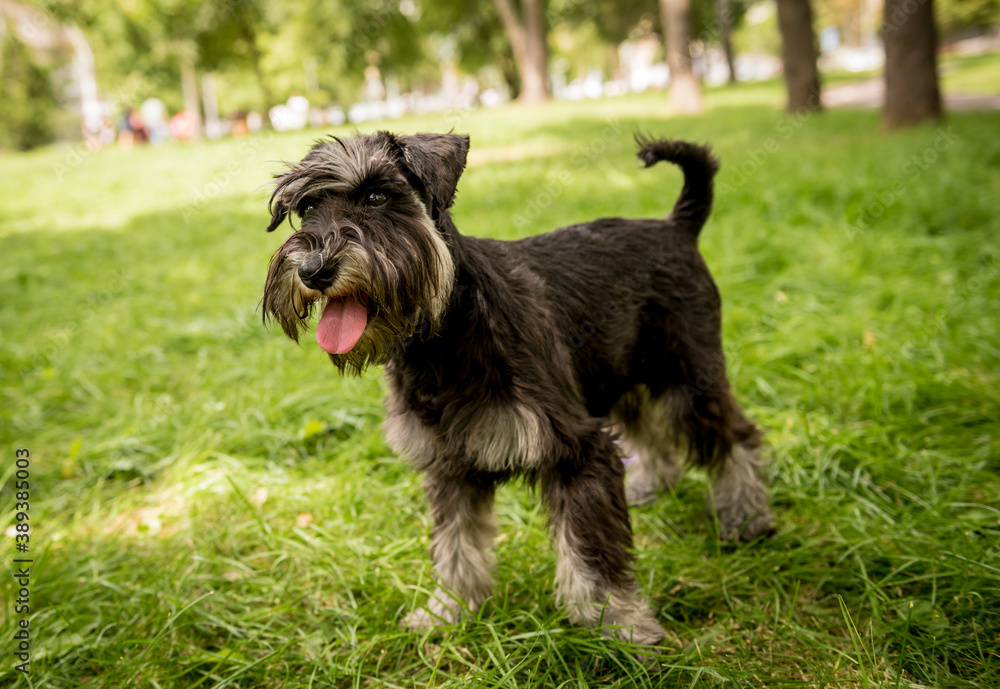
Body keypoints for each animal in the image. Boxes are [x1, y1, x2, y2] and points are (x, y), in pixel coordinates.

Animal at [260, 130, 772, 644]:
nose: (313, 269)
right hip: (616, 373)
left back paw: (747, 517)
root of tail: (676, 226)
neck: (440, 338)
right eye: (307, 208)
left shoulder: (577, 450)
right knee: (648, 429)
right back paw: (652, 484)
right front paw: (448, 611)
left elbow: (592, 555)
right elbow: (457, 546)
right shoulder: (448, 467)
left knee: (736, 437)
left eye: (378, 197)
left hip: (689, 376)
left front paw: (618, 626)